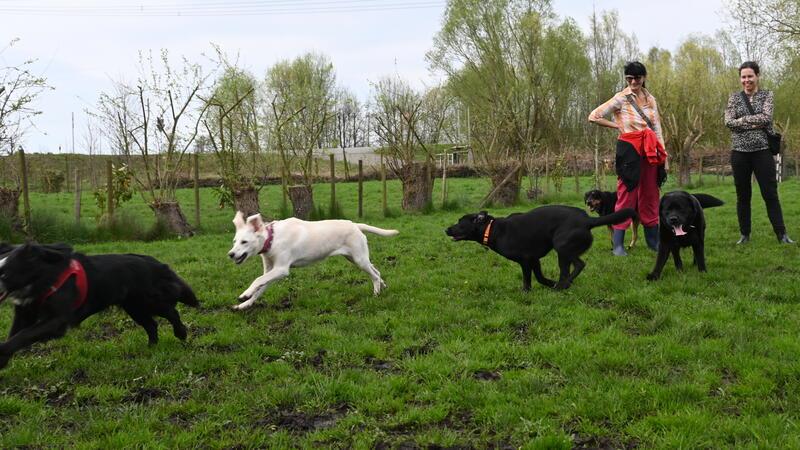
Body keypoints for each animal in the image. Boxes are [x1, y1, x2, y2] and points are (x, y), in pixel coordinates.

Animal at [0, 243, 200, 370]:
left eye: (3, 274)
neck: (43, 276)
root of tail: (155, 262)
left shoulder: (56, 320)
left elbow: (23, 335)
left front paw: (1, 352)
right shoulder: (24, 313)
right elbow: (15, 334)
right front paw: (2, 361)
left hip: (149, 301)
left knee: (171, 312)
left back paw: (181, 333)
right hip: (134, 307)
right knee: (152, 324)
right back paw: (151, 347)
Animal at [225, 213, 400, 312]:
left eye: (244, 242)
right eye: (234, 241)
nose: (231, 254)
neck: (272, 238)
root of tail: (354, 224)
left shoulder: (281, 269)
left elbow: (257, 280)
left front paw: (244, 294)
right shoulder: (270, 271)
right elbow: (259, 288)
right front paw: (245, 304)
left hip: (359, 259)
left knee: (374, 275)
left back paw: (376, 293)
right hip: (356, 258)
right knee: (376, 271)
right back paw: (383, 286)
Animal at [444, 205, 636, 290]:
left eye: (460, 223)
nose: (446, 229)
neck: (493, 229)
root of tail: (588, 220)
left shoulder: (525, 260)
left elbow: (528, 280)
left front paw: (526, 292)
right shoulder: (534, 260)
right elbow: (540, 277)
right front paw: (549, 282)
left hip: (562, 246)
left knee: (577, 266)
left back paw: (562, 285)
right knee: (573, 267)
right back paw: (562, 284)